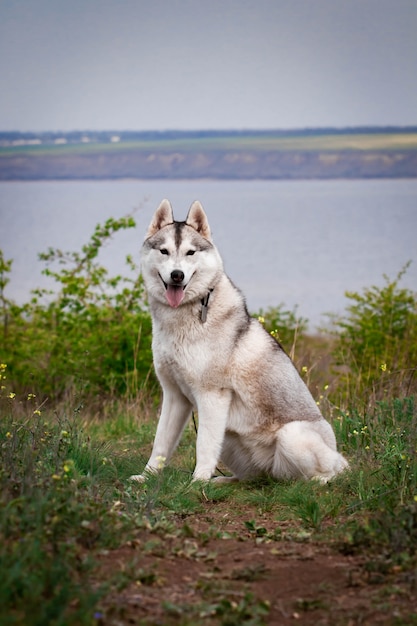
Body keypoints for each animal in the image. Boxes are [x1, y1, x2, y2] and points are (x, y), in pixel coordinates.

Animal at [131, 200, 348, 482]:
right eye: (164, 251)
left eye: (190, 252)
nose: (177, 275)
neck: (187, 313)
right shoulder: (175, 396)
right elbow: (161, 443)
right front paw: (147, 476)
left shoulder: (212, 396)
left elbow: (203, 445)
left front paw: (197, 481)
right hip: (231, 442)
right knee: (254, 478)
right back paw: (224, 481)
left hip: (292, 436)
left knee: (324, 472)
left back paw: (320, 480)